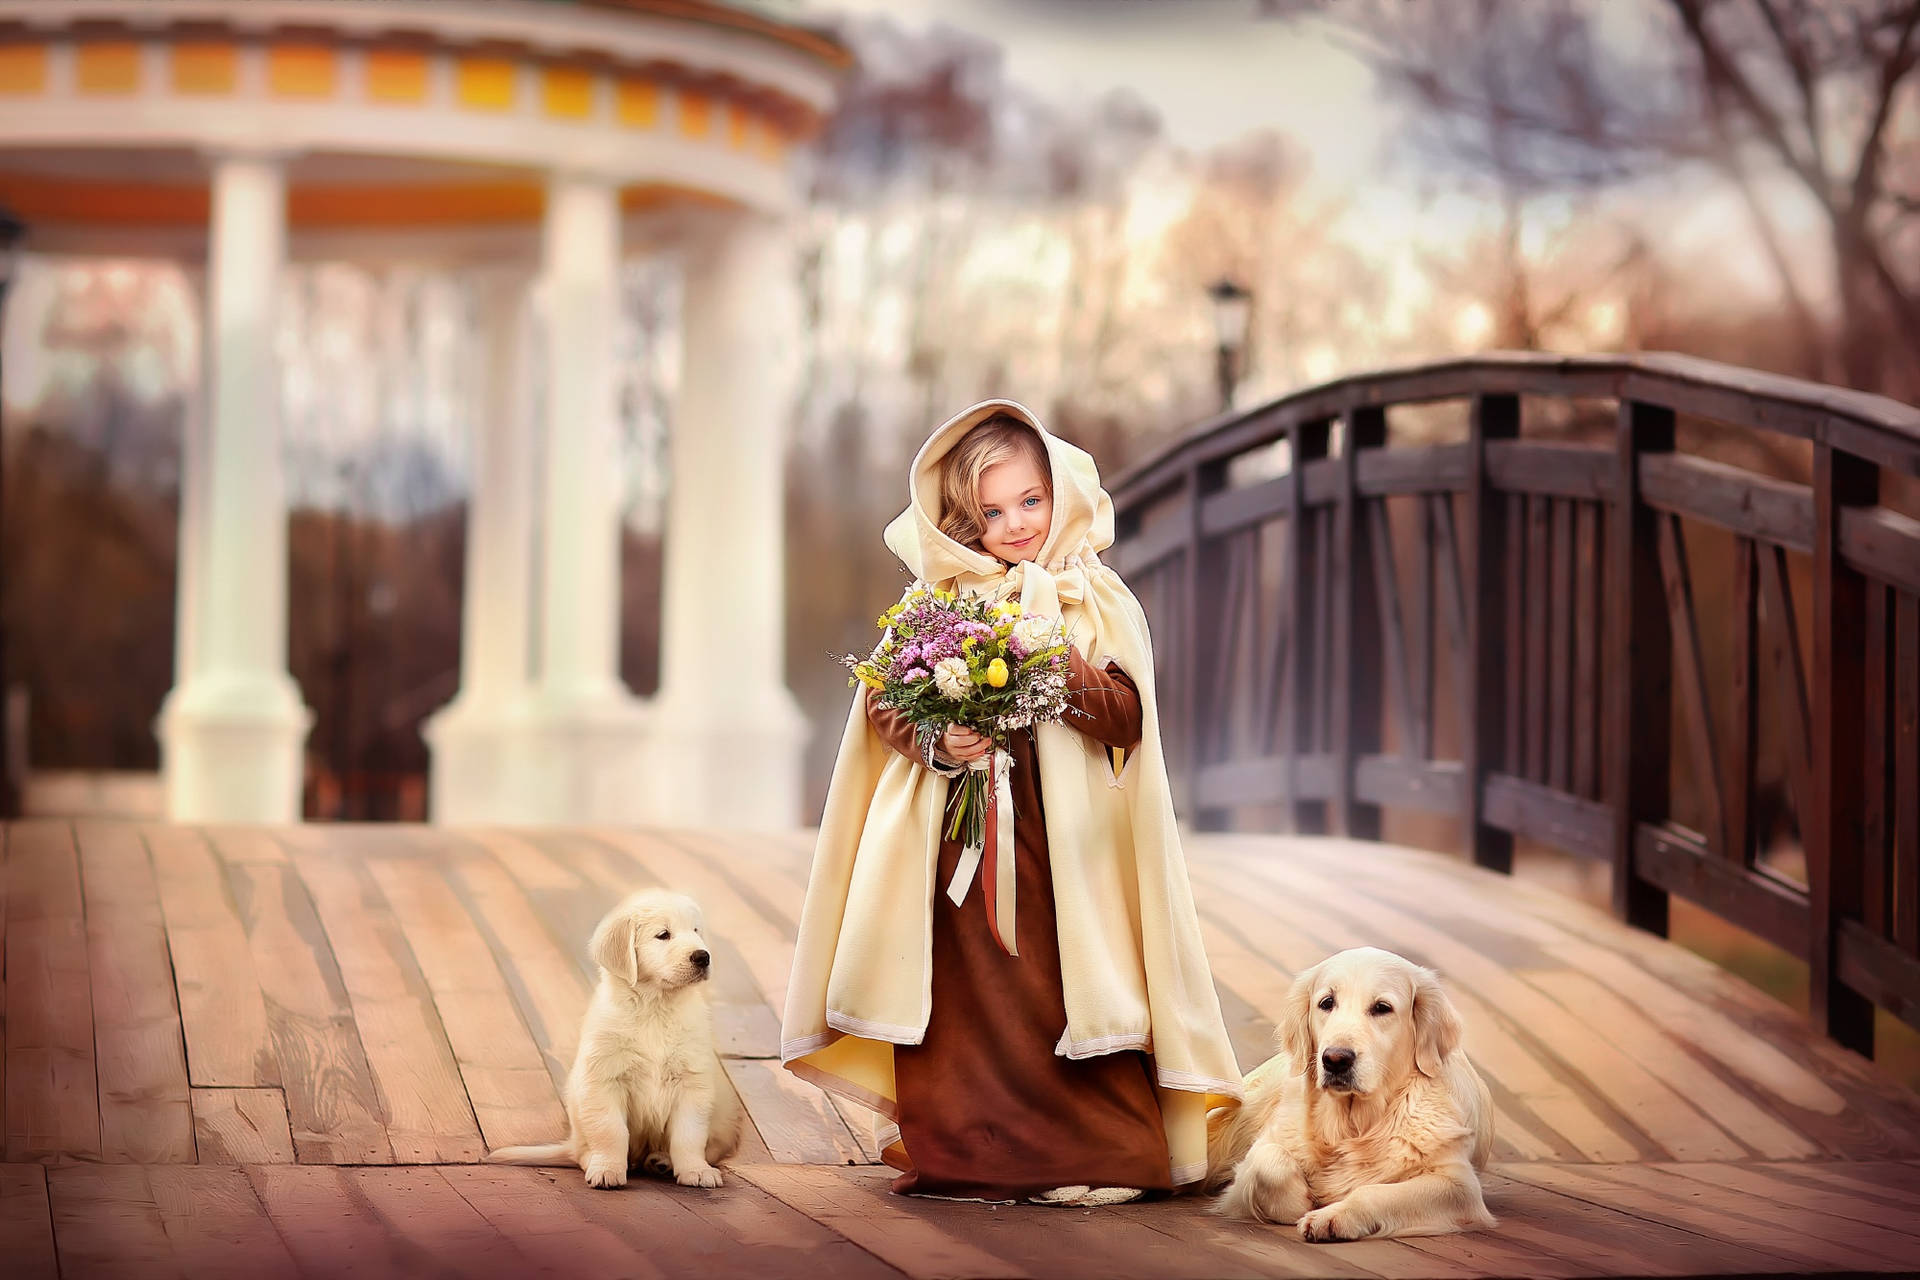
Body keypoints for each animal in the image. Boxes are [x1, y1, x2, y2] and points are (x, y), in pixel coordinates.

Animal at [487, 890, 741, 1189]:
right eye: (663, 935)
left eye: (696, 931)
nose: (703, 956)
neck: (655, 1007)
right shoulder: (604, 1080)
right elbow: (611, 1131)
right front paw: (608, 1169)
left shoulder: (692, 1082)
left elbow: (689, 1134)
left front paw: (695, 1169)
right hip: (578, 1104)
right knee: (582, 1152)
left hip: (724, 1113)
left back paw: (662, 1160)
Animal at [1198, 951, 1497, 1243]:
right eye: (1327, 1002)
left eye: (1382, 1007)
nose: (1335, 1059)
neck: (1352, 1127)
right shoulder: (1263, 1151)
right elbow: (1269, 1165)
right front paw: (1301, 1202)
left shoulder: (1459, 1186)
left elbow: (1373, 1191)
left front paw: (1333, 1216)